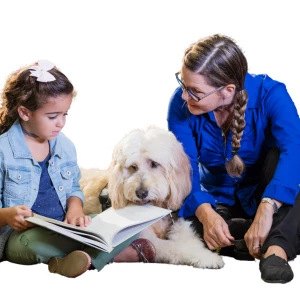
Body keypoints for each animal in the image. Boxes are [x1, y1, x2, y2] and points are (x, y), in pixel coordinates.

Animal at [106, 126, 224, 270]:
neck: (157, 207)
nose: (141, 193)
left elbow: (189, 239)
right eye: (133, 167)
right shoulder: (150, 239)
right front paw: (208, 258)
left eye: (154, 164)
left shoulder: (179, 222)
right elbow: (176, 247)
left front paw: (203, 253)